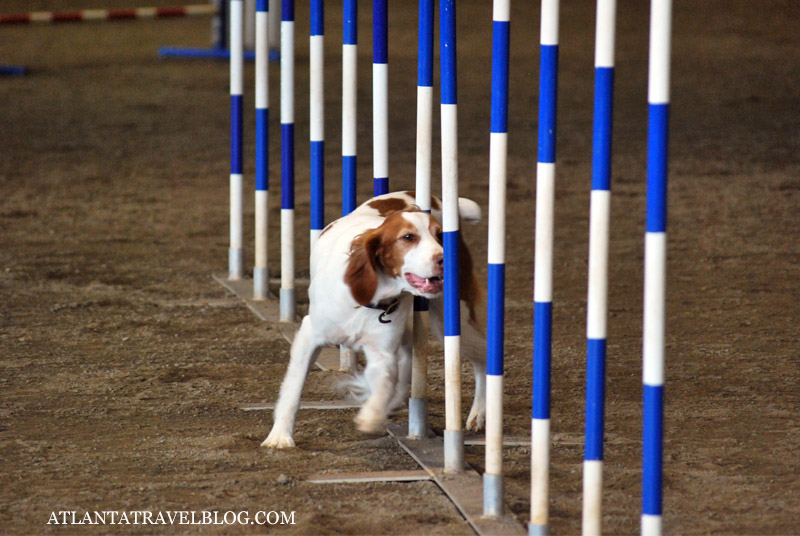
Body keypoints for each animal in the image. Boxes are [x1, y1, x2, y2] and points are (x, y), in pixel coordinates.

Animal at [262, 193, 488, 448]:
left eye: (440, 235)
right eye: (408, 237)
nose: (444, 259)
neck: (370, 299)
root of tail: (433, 197)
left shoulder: (382, 351)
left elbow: (384, 382)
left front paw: (370, 417)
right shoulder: (310, 335)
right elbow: (294, 387)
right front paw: (279, 436)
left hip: (455, 321)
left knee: (481, 359)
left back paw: (478, 413)